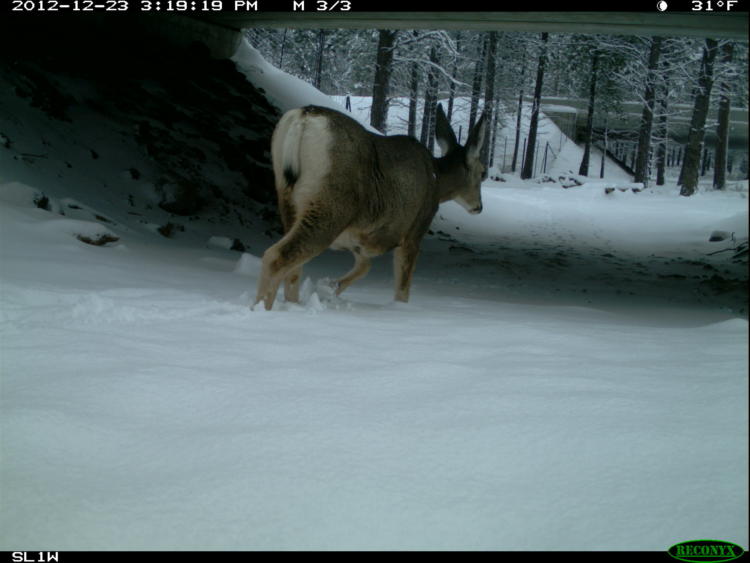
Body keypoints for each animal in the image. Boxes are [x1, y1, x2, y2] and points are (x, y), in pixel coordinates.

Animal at [253, 103, 487, 311]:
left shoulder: (359, 240)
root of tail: (304, 116)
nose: (479, 207)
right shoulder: (414, 231)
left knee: (294, 268)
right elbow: (402, 288)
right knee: (276, 257)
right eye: (483, 172)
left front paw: (328, 288)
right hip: (331, 206)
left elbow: (365, 266)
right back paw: (260, 311)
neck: (437, 179)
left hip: (288, 200)